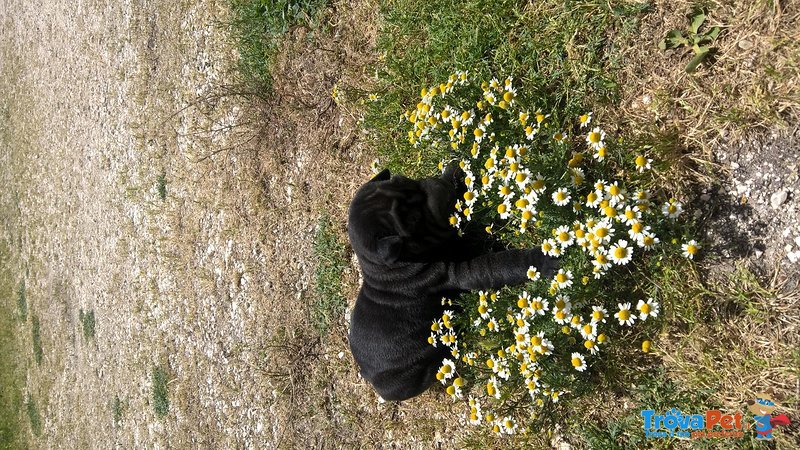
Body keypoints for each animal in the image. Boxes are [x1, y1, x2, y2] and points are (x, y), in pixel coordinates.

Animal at [346, 165, 560, 400]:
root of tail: (367, 375)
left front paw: (453, 171)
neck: (386, 267)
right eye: (414, 219)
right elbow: (501, 264)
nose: (433, 188)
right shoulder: (461, 270)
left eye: (408, 181)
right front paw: (542, 259)